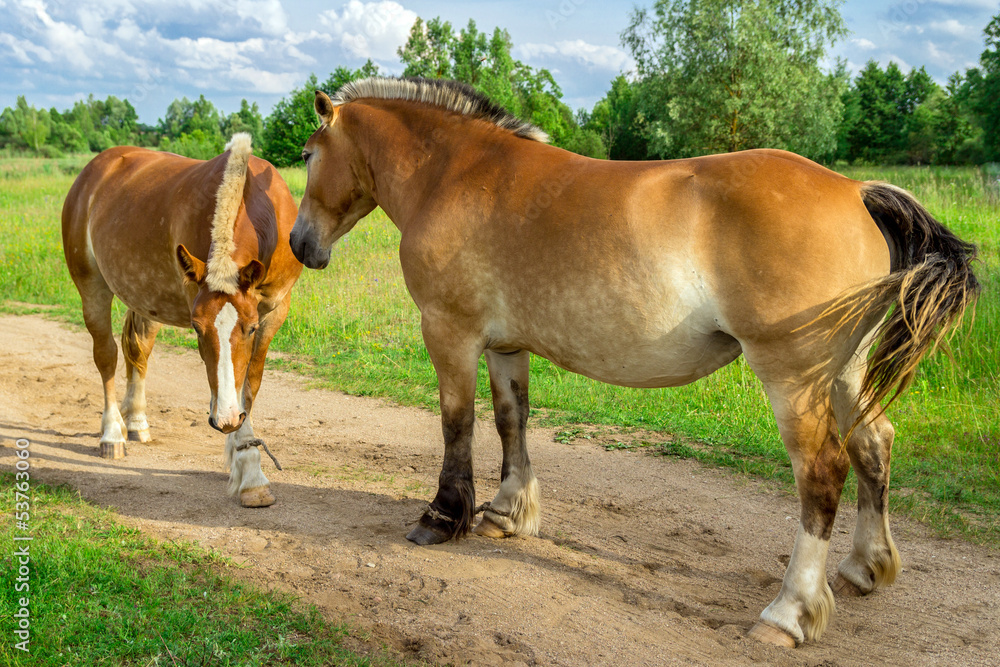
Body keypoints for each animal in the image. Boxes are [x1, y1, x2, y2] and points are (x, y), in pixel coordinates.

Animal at [62, 133, 302, 507]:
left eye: (249, 328)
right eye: (196, 329)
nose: (225, 420)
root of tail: (93, 171)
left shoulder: (275, 311)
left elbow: (249, 385)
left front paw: (244, 463)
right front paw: (248, 471)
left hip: (145, 298)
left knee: (138, 352)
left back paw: (137, 423)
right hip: (92, 286)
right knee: (106, 356)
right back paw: (113, 434)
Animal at [288, 78, 979, 647]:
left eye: (308, 154)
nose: (299, 244)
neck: (456, 173)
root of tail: (856, 190)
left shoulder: (449, 333)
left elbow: (457, 424)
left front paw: (441, 516)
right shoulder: (507, 346)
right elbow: (512, 421)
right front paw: (507, 513)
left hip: (794, 378)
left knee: (822, 473)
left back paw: (789, 613)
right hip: (845, 372)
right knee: (873, 444)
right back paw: (865, 566)